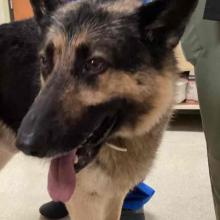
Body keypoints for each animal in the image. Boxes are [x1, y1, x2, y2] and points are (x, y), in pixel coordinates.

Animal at [0, 0, 196, 219]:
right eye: (44, 61)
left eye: (94, 64)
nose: (24, 144)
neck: (120, 140)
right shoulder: (82, 201)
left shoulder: (114, 197)